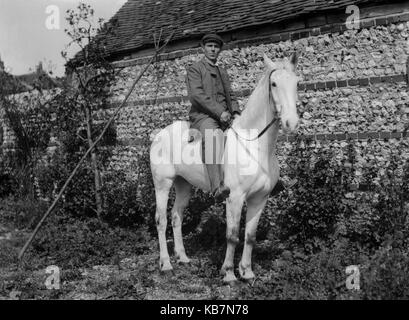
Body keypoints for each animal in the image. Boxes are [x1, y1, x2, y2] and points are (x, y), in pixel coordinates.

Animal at [150, 53, 300, 282]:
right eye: (274, 84)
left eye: (296, 83)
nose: (292, 122)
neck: (254, 146)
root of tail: (159, 135)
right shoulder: (234, 198)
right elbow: (232, 236)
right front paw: (229, 273)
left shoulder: (259, 199)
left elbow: (250, 236)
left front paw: (247, 272)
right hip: (162, 184)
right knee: (161, 221)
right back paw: (166, 264)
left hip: (184, 185)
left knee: (176, 217)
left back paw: (183, 257)